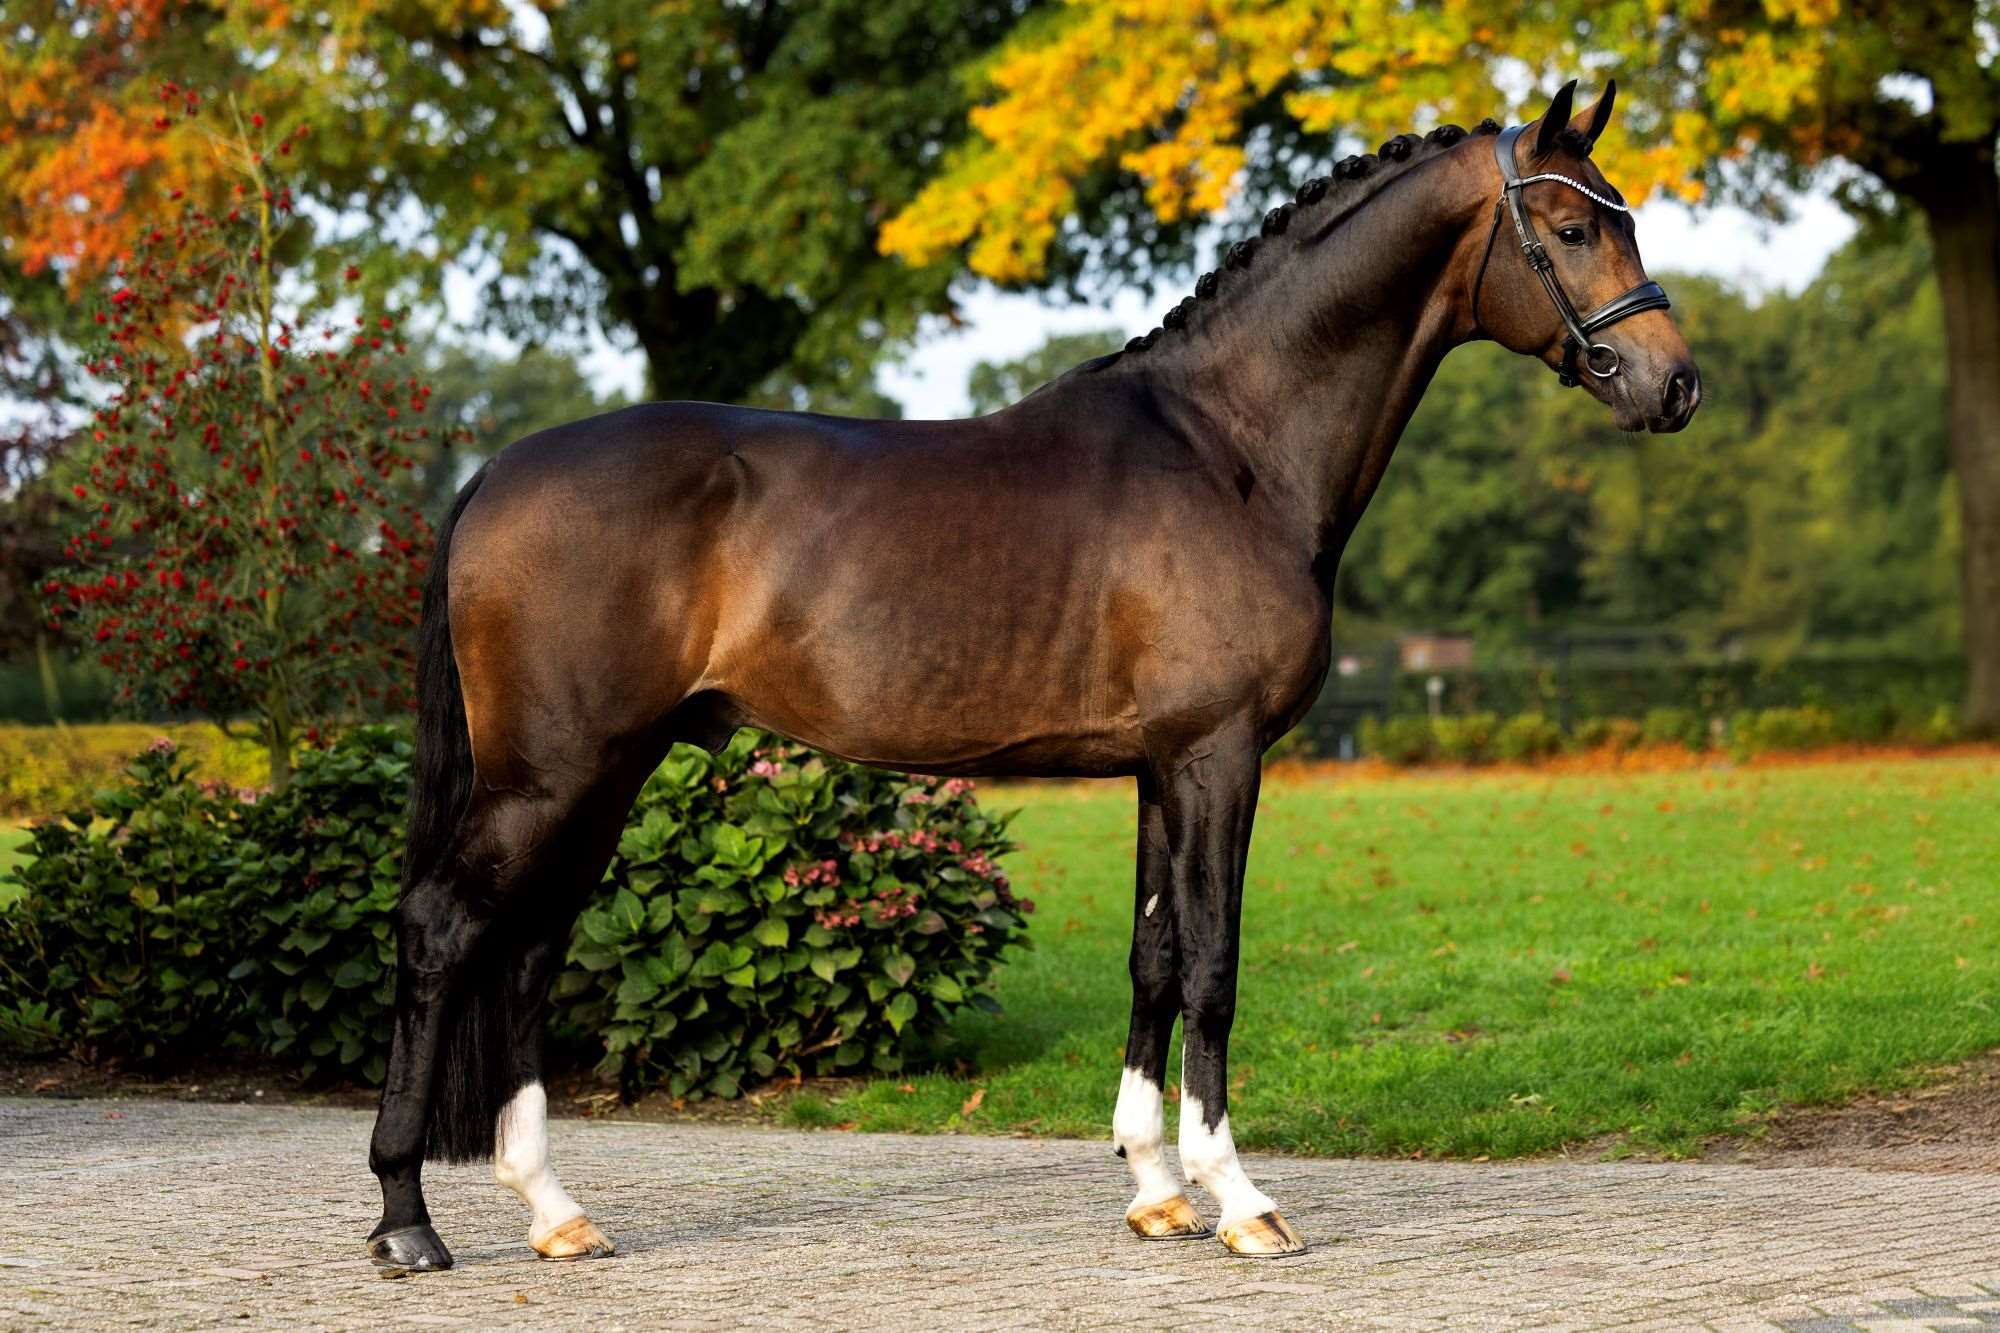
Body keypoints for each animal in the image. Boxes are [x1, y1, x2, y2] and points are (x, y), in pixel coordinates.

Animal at [365, 79, 1701, 1271]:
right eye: (1570, 228)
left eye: (1623, 216)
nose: (1671, 382)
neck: (1229, 446)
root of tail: (494, 474)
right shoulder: (1219, 755)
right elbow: (1212, 966)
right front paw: (1239, 1200)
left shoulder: (1162, 766)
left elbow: (1152, 960)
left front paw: (1155, 1190)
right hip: (553, 773)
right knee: (440, 930)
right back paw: (406, 1220)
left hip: (602, 773)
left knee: (528, 950)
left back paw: (555, 1214)